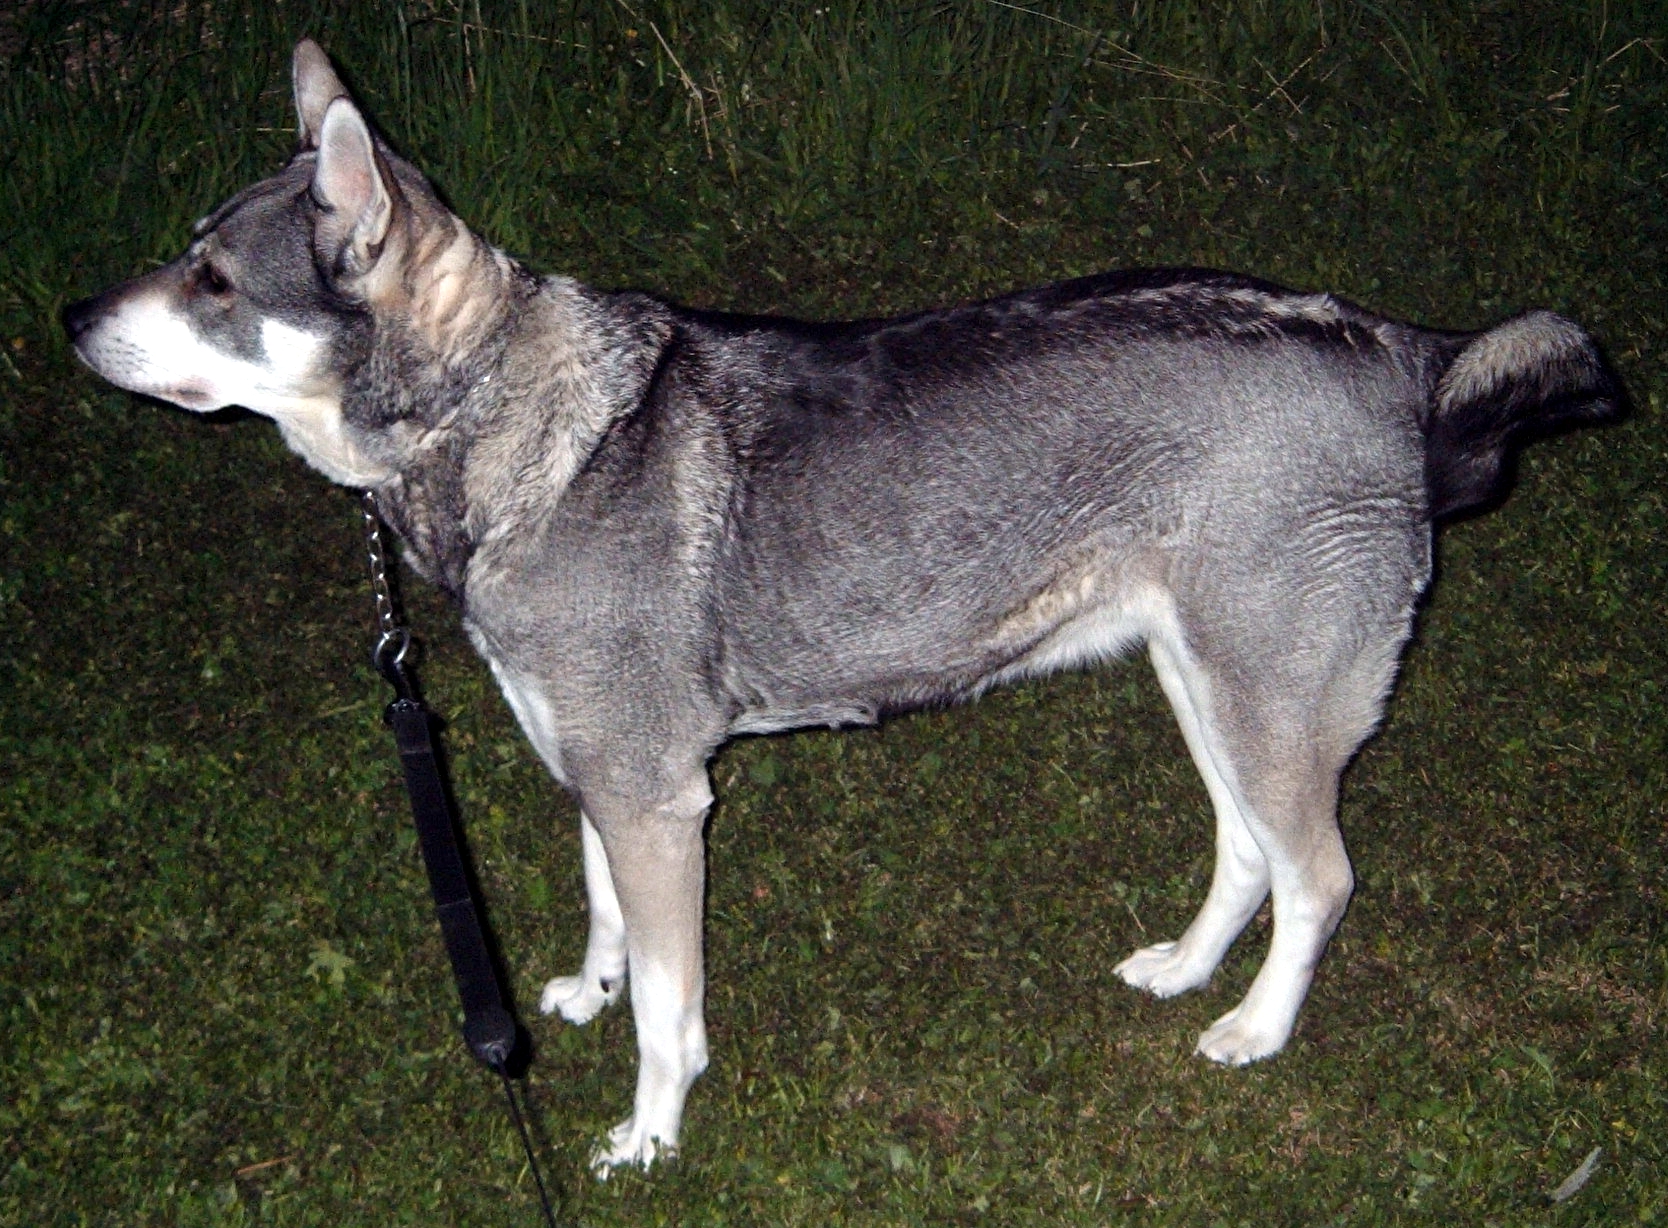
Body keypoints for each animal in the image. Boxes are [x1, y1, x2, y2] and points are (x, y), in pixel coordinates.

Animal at [61, 38, 1614, 1167]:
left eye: (212, 278)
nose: (71, 318)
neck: (504, 420)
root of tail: (1404, 351)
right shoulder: (599, 776)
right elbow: (605, 918)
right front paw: (587, 994)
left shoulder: (656, 798)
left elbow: (671, 1009)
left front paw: (647, 1132)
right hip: (1208, 683)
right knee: (1249, 851)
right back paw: (1187, 972)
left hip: (1267, 699)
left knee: (1322, 875)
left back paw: (1256, 1031)